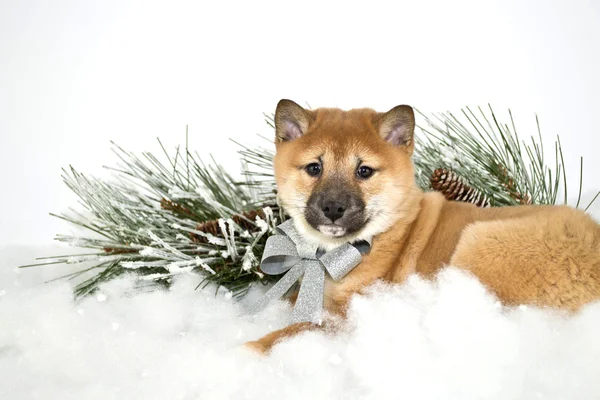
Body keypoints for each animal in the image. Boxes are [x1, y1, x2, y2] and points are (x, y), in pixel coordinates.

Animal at [244, 100, 600, 354]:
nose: (333, 208)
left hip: (479, 245)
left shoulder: (344, 318)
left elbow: (289, 333)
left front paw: (248, 348)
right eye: (314, 168)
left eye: (364, 171)